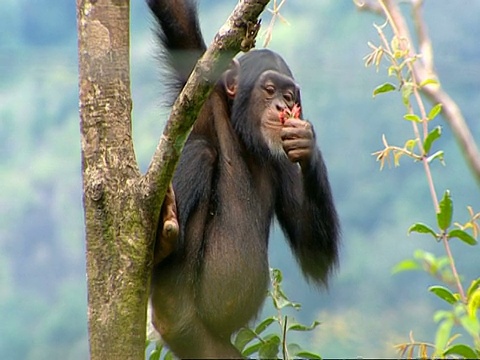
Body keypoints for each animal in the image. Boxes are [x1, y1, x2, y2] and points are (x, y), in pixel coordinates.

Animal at [148, 0, 340, 358]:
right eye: (270, 90)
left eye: (290, 96)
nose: (281, 105)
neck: (243, 136)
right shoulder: (202, 92)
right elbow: (178, 20)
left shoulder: (283, 164)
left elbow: (313, 249)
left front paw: (307, 142)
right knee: (200, 152)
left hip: (211, 348)